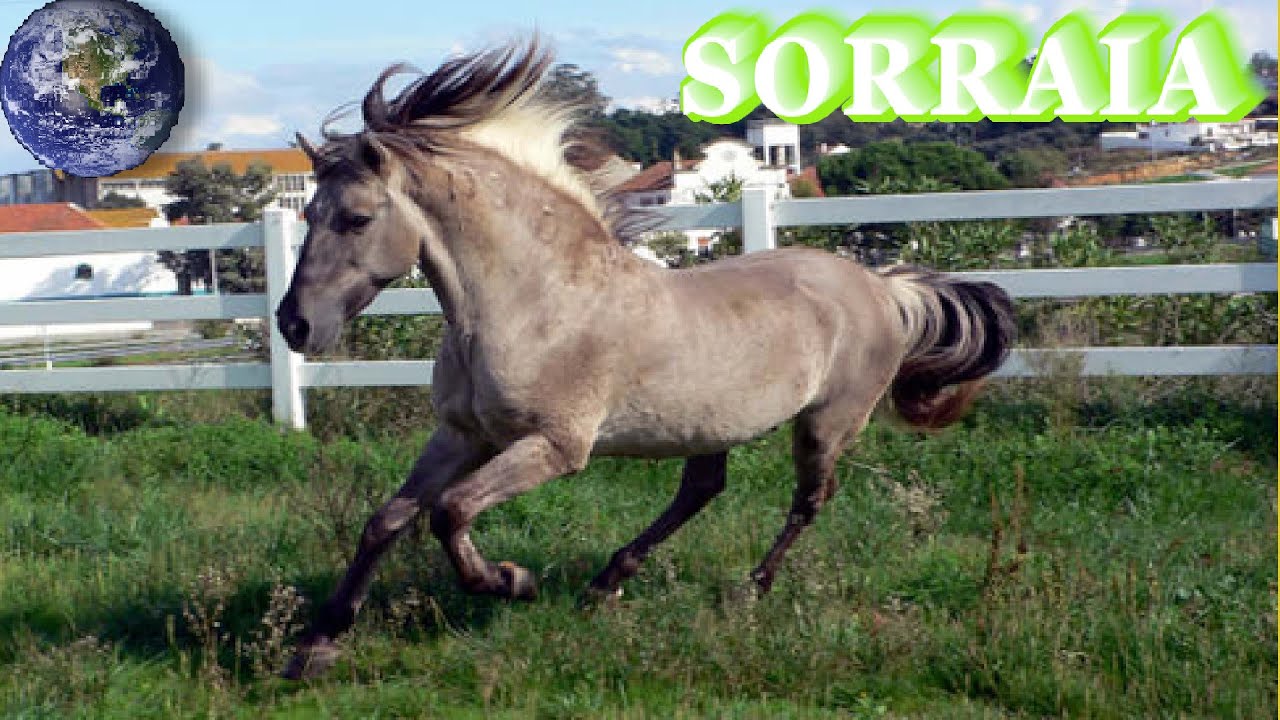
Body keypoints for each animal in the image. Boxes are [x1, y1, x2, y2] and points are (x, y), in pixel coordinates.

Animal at [275, 40, 1016, 679]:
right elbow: (387, 520)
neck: (535, 302)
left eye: (357, 218)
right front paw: (317, 645)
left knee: (809, 501)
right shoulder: (461, 434)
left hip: (827, 422)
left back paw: (748, 590)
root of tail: (882, 285)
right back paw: (607, 583)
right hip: (709, 424)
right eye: (307, 212)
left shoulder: (556, 446)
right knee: (703, 490)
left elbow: (449, 512)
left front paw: (513, 582)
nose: (294, 323)